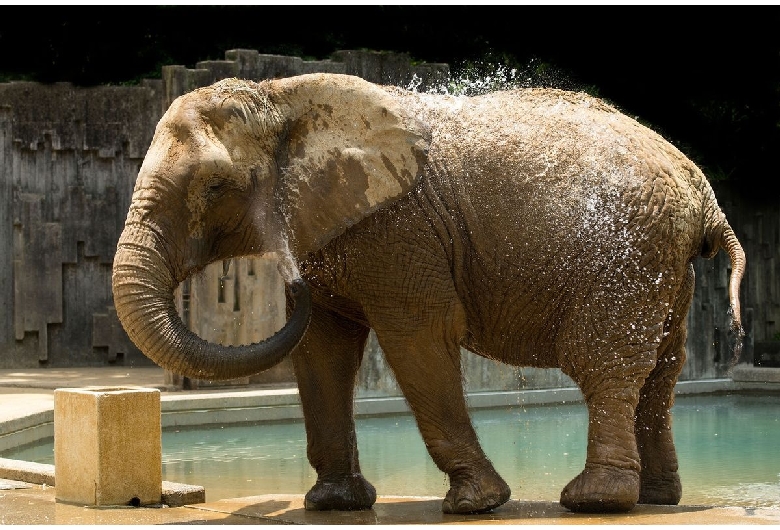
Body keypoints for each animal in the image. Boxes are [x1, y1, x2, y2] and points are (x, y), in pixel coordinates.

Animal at [112, 73, 748, 512]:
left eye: (215, 185)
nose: (288, 277)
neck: (283, 99)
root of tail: (702, 191)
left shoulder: (398, 230)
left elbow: (416, 337)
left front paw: (475, 505)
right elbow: (322, 349)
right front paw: (335, 505)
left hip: (627, 253)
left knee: (605, 362)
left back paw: (593, 501)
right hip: (664, 262)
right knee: (662, 371)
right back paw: (657, 499)